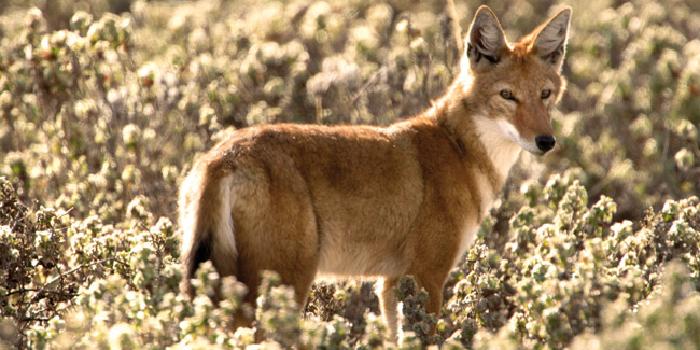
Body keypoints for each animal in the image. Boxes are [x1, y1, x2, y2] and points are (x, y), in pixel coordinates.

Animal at [178, 4, 572, 340]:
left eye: (545, 94)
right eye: (508, 95)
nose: (546, 141)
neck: (460, 149)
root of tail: (222, 156)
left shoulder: (390, 283)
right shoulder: (426, 276)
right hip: (283, 292)